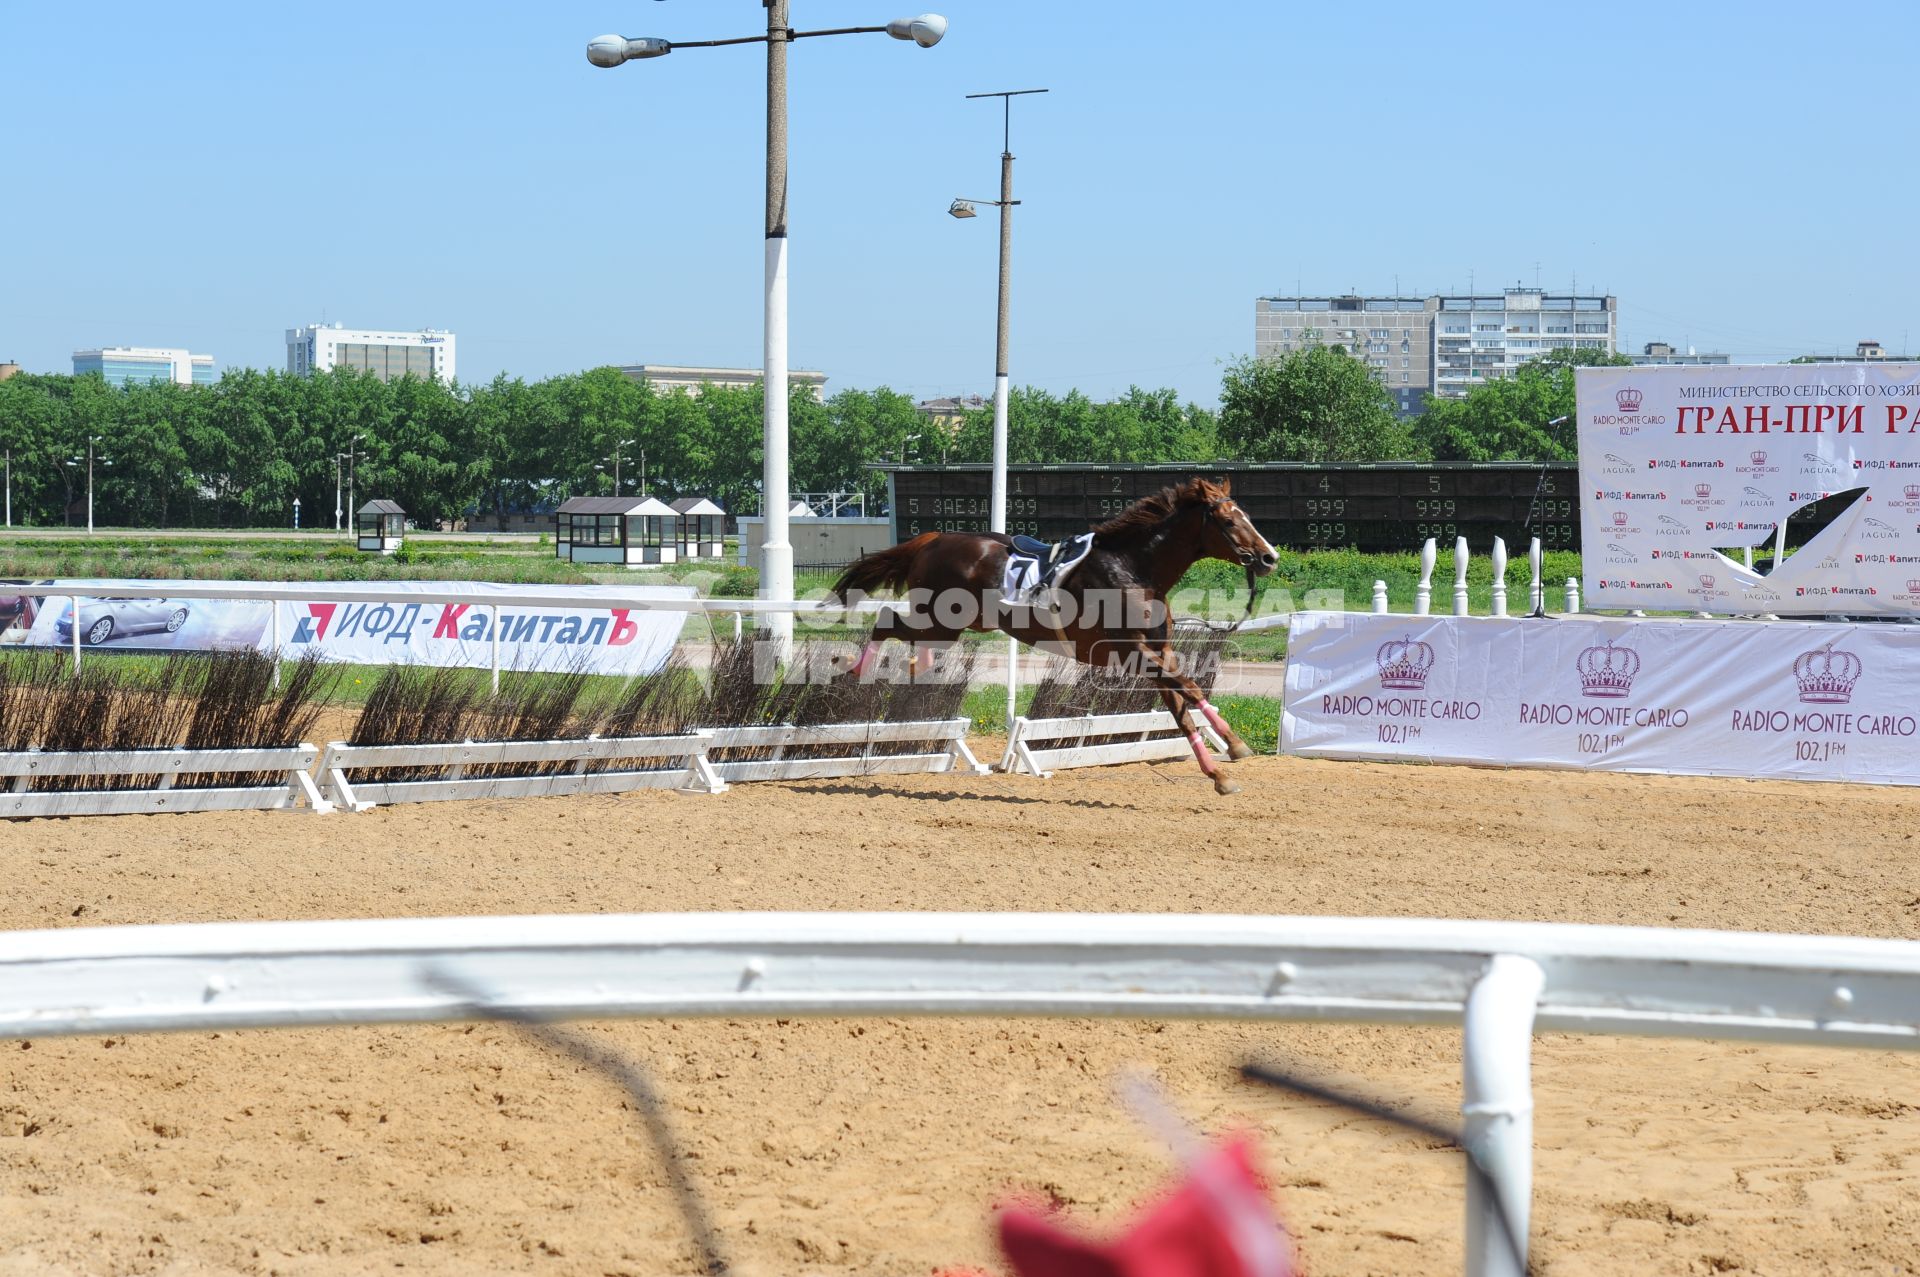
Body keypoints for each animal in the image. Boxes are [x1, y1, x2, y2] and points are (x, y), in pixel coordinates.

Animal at [825, 476, 1274, 791]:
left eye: (1248, 516)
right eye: (1229, 520)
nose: (1270, 557)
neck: (1134, 568)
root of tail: (932, 538)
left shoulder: (1155, 654)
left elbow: (1182, 708)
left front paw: (1220, 771)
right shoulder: (1130, 650)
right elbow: (1192, 689)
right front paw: (1234, 745)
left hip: (951, 625)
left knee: (907, 633)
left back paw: (917, 667)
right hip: (940, 617)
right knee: (886, 619)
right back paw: (857, 668)